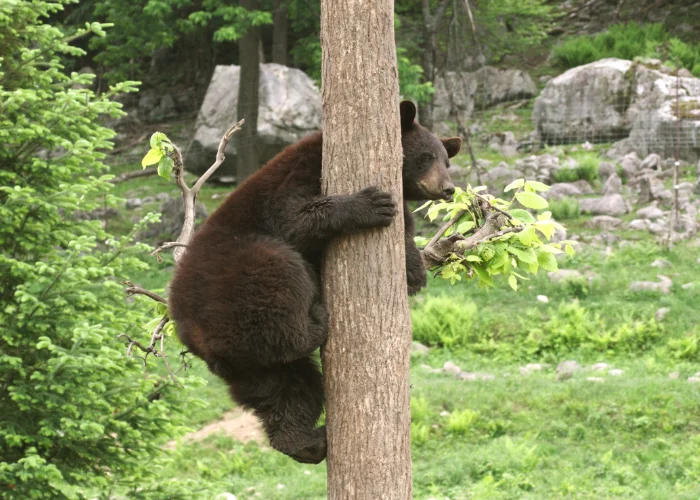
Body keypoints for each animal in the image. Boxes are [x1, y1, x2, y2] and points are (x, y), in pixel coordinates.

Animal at [169, 100, 462, 464]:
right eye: (426, 156)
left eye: (447, 160)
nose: (448, 188)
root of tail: (196, 336)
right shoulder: (302, 172)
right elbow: (294, 216)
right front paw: (370, 204)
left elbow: (405, 229)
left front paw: (413, 271)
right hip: (241, 272)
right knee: (281, 274)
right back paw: (317, 321)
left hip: (252, 367)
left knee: (288, 389)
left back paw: (306, 442)